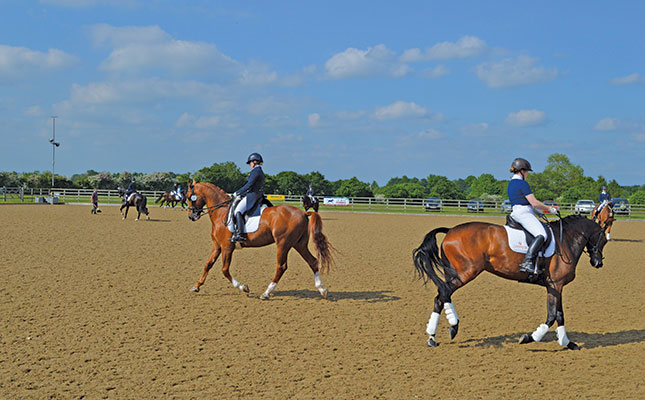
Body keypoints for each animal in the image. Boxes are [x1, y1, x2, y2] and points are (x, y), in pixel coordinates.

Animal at [186, 181, 334, 300]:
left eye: (189, 197)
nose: (191, 217)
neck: (221, 212)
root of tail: (303, 212)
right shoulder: (217, 245)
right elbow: (208, 264)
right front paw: (196, 286)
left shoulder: (227, 246)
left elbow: (225, 270)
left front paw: (244, 287)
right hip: (299, 244)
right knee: (312, 261)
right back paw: (322, 290)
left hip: (283, 244)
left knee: (281, 266)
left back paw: (266, 293)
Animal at [412, 216, 608, 350]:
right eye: (604, 239)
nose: (598, 263)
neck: (565, 240)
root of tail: (450, 230)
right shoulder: (555, 285)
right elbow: (552, 315)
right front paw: (529, 338)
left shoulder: (556, 287)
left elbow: (559, 315)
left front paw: (568, 343)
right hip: (465, 273)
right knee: (443, 293)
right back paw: (452, 326)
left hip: (454, 273)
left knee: (441, 296)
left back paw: (433, 337)